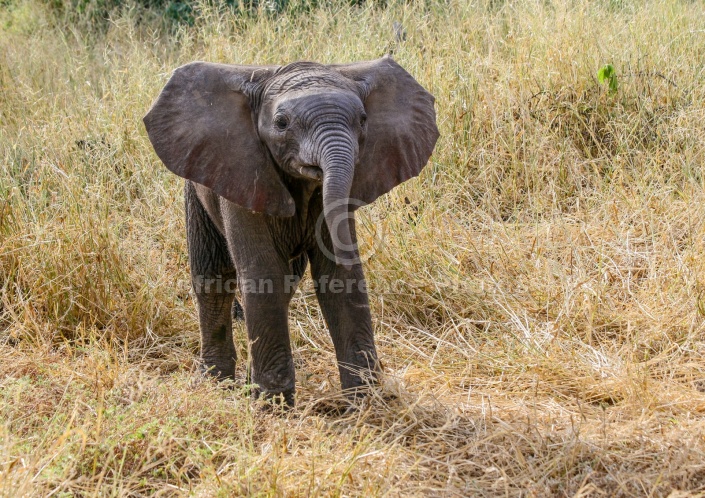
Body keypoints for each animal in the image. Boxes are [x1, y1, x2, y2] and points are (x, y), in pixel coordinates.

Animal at [144, 56, 438, 406]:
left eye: (364, 119)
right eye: (282, 123)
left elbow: (338, 278)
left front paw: (363, 402)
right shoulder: (244, 174)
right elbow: (263, 274)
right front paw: (273, 406)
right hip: (197, 189)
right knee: (213, 280)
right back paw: (216, 383)